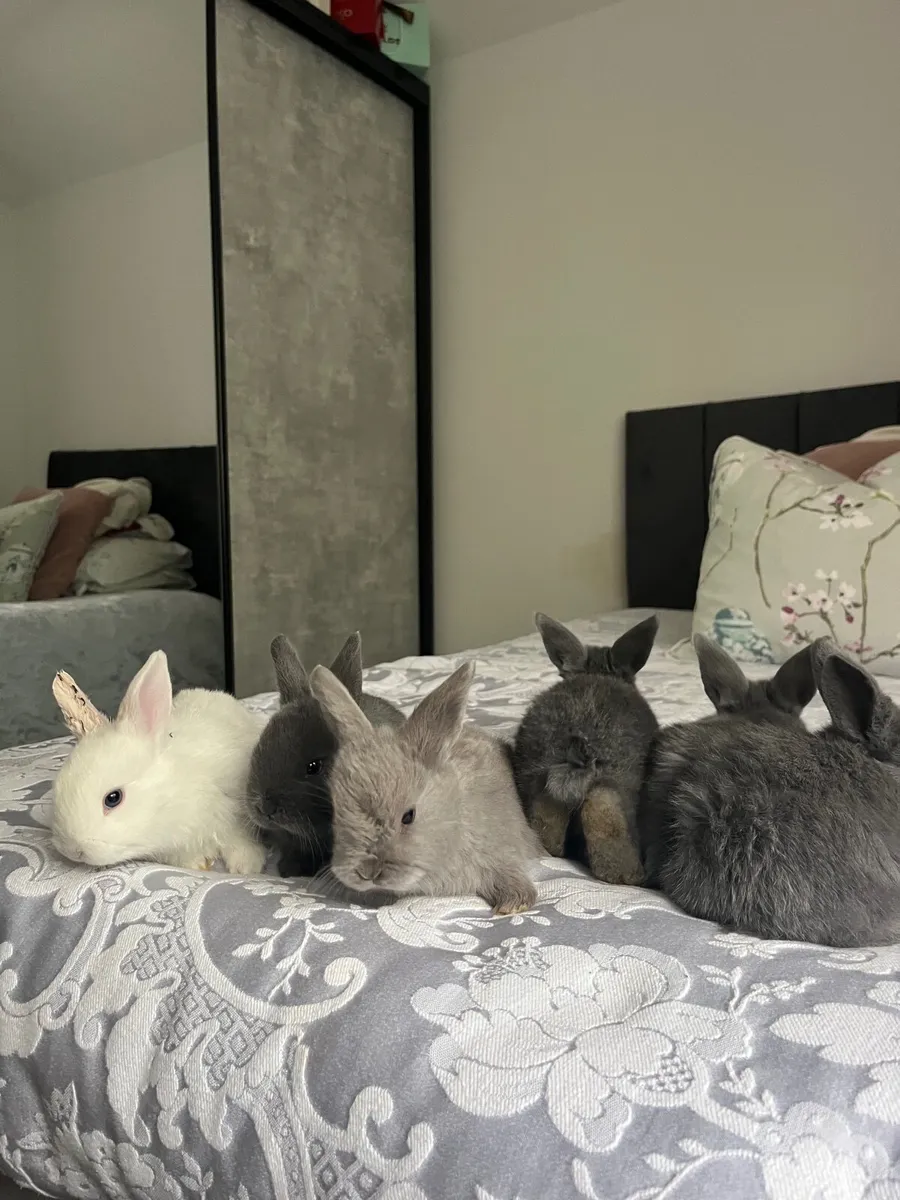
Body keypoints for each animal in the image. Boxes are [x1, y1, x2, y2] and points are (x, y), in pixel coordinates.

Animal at [51, 650, 266, 874]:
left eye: (113, 798)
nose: (73, 851)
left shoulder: (235, 812)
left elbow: (240, 839)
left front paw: (246, 867)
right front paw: (198, 864)